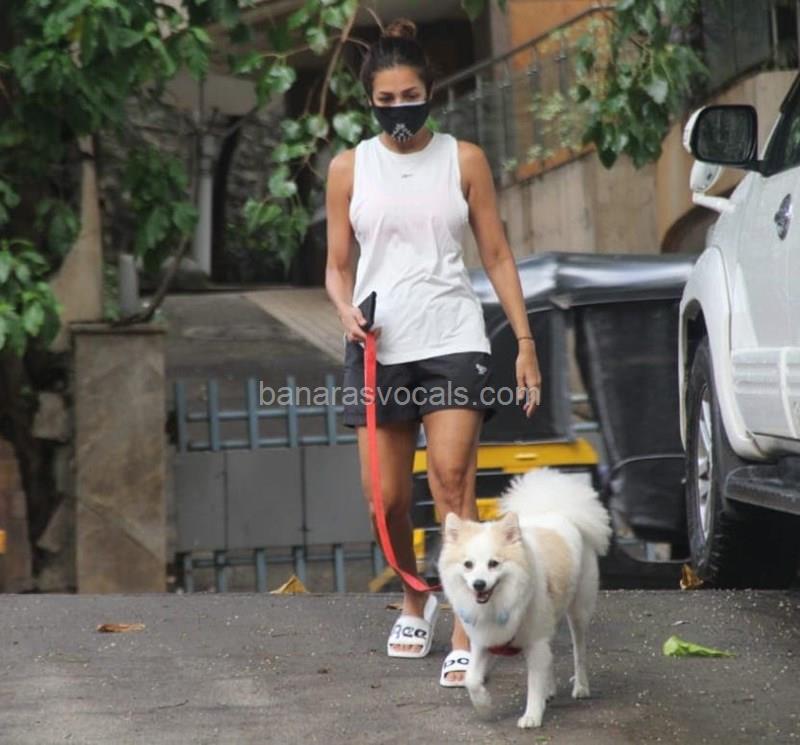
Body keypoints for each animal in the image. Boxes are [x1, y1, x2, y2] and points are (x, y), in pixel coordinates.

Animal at [437, 467, 612, 729]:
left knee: (579, 651)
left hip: (578, 612)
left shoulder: (535, 642)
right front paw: (485, 707)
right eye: (468, 565)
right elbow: (471, 679)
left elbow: (534, 683)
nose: (479, 584)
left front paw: (531, 716)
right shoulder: (484, 641)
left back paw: (581, 687)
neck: (499, 602)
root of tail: (557, 510)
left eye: (493, 564)